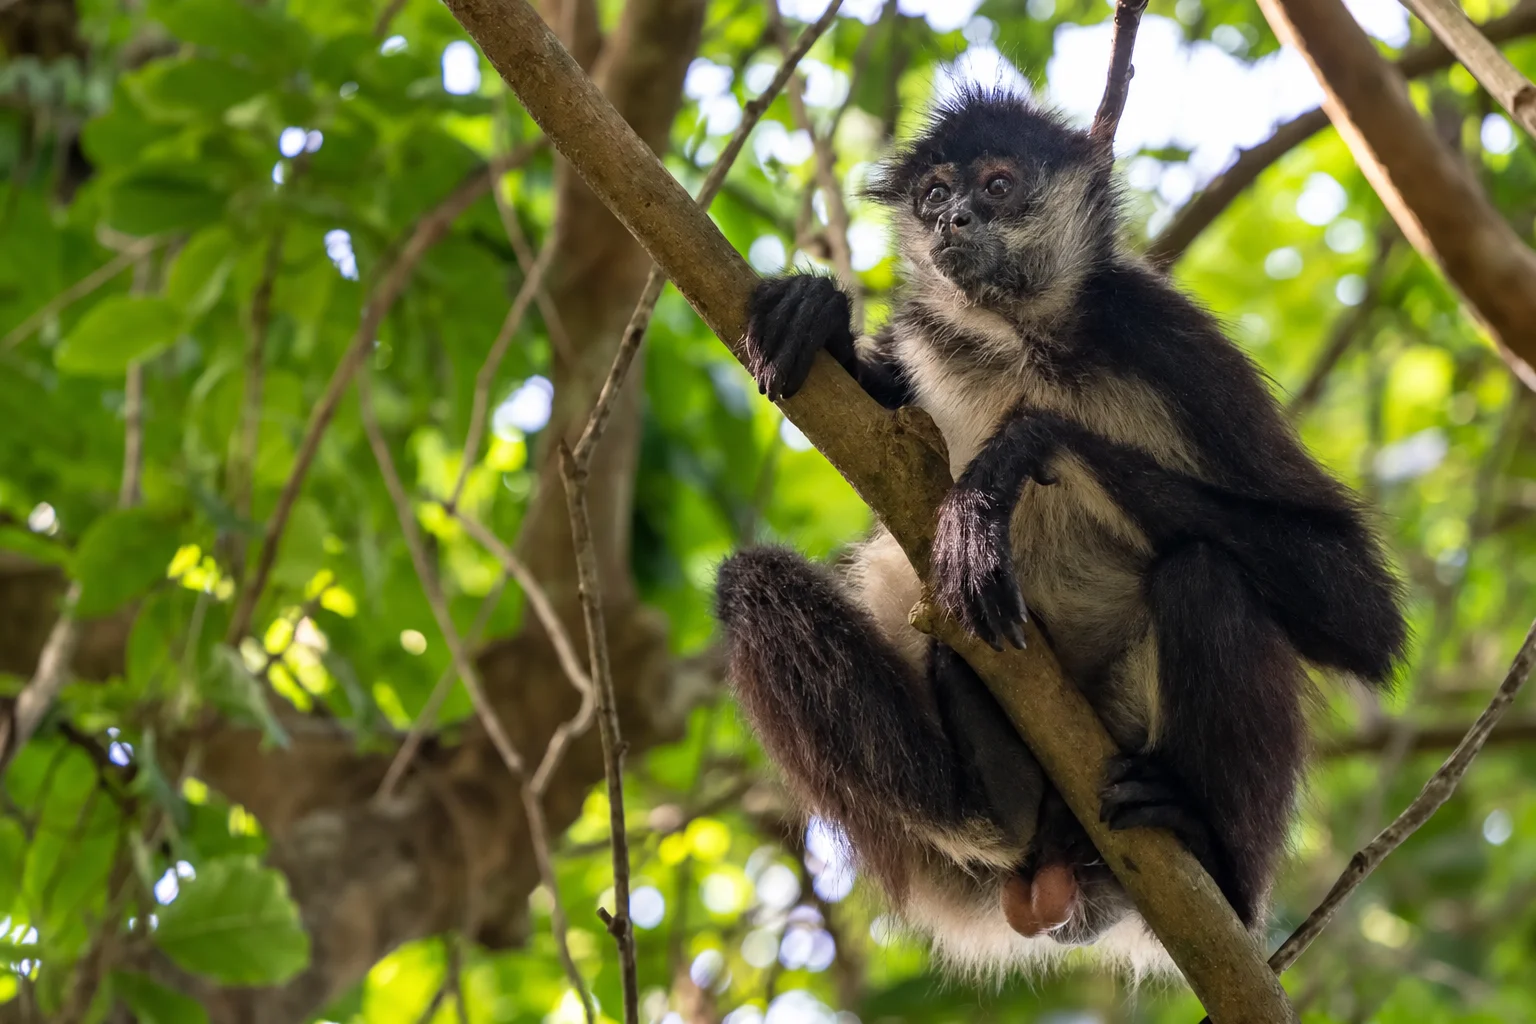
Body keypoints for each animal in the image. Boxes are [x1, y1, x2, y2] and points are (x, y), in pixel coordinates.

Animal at [713, 87, 1407, 978]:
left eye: (999, 185)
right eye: (934, 196)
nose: (955, 221)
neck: (1024, 345)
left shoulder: (1164, 337)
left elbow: (1362, 613)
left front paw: (1016, 455)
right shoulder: (922, 338)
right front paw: (821, 315)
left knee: (1204, 573)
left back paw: (1203, 848)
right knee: (752, 583)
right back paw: (995, 796)